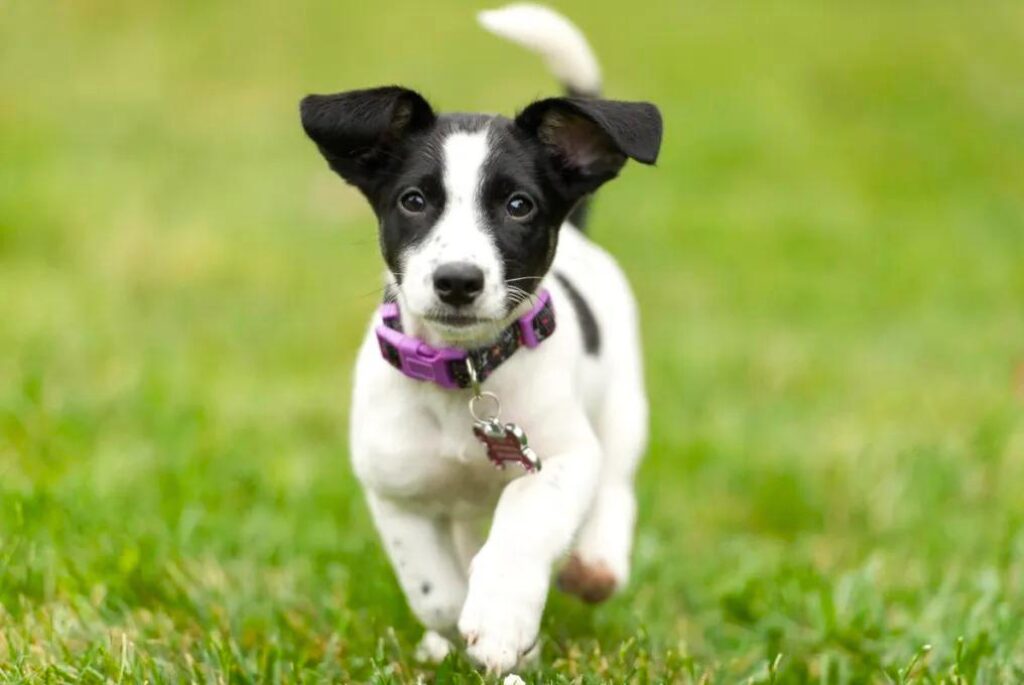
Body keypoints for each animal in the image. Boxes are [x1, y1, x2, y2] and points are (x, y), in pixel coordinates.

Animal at [299, 1, 663, 671]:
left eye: (519, 205)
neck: (464, 375)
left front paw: (500, 620)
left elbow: (522, 523)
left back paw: (595, 561)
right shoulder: (395, 488)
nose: (458, 281)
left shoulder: (560, 459)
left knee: (616, 486)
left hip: (623, 408)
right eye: (413, 200)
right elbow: (436, 591)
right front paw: (465, 629)